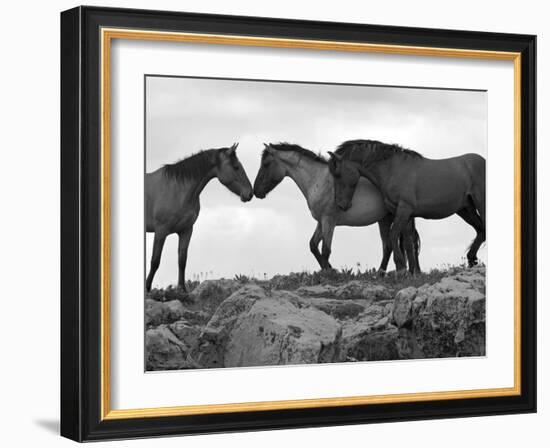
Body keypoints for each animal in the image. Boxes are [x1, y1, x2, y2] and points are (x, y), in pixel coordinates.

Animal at [144, 144, 252, 290]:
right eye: (236, 167)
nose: (250, 193)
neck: (177, 190)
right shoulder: (161, 230)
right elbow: (155, 261)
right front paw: (147, 288)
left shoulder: (186, 230)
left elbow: (182, 260)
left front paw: (182, 289)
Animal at [256, 143, 422, 272]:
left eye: (266, 164)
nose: (256, 191)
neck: (318, 180)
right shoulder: (321, 221)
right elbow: (313, 245)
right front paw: (329, 269)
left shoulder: (329, 220)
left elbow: (325, 249)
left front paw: (329, 272)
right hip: (385, 219)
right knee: (390, 245)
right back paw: (383, 272)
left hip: (401, 219)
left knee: (407, 243)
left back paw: (410, 271)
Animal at [330, 140, 486, 272]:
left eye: (337, 174)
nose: (341, 204)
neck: (393, 169)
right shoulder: (405, 214)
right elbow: (408, 243)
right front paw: (412, 272)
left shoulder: (404, 209)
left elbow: (393, 235)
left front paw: (401, 267)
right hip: (466, 210)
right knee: (481, 230)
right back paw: (471, 259)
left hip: (481, 204)